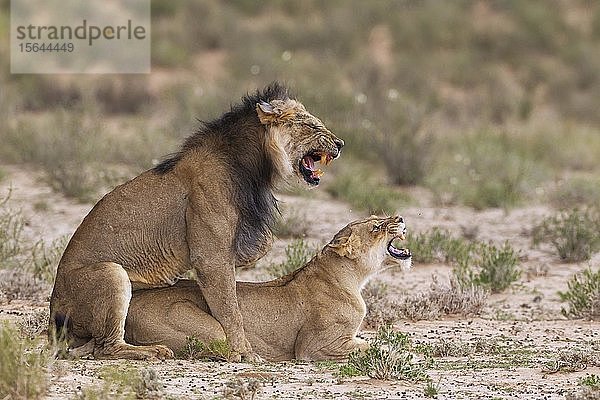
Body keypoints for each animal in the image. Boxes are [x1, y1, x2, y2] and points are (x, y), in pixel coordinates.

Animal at [49, 83, 344, 360]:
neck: (255, 168)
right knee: (105, 348)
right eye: (311, 125)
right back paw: (153, 351)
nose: (340, 144)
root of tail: (53, 313)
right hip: (110, 273)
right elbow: (230, 309)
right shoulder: (210, 256)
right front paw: (245, 353)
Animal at [122, 217, 412, 360]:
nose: (400, 217)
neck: (352, 278)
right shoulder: (314, 347)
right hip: (207, 328)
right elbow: (369, 346)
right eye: (376, 227)